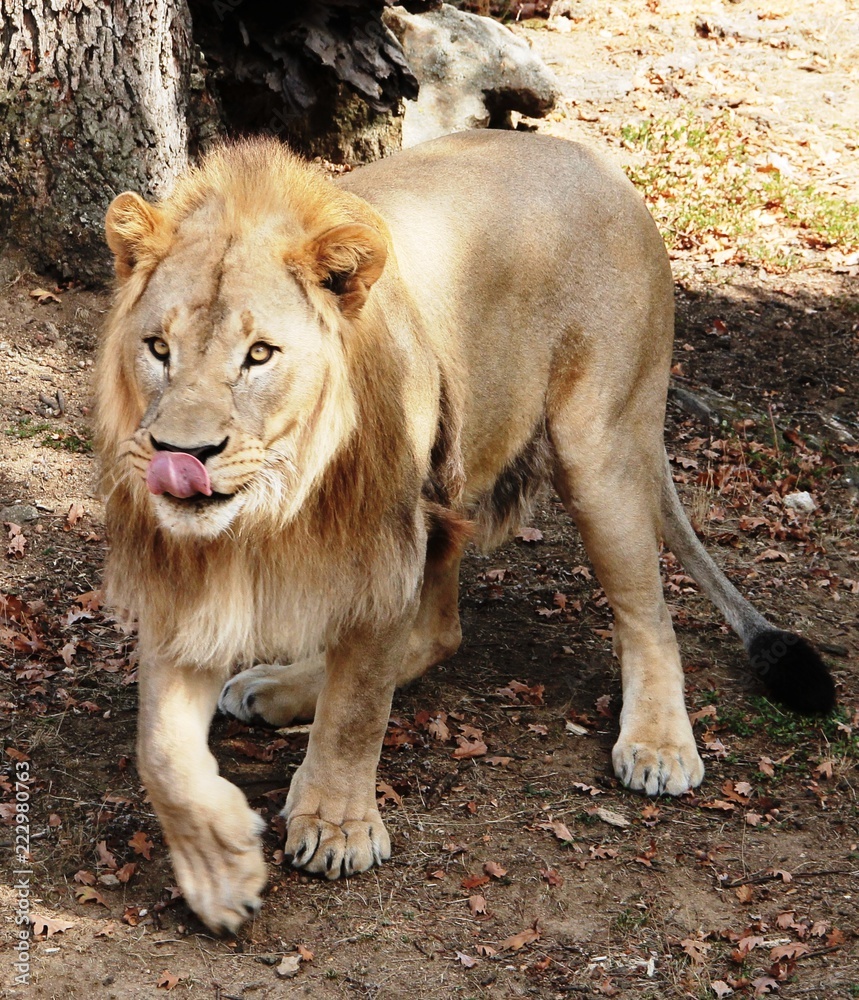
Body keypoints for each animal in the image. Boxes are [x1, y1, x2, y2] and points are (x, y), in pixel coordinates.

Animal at [96, 131, 833, 933]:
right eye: (158, 349)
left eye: (259, 354)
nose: (182, 456)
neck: (275, 498)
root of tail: (604, 167)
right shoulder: (181, 569)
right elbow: (160, 748)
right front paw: (220, 869)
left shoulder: (382, 547)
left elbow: (358, 707)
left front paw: (336, 825)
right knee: (439, 630)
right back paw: (278, 687)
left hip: (596, 449)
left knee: (646, 613)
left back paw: (658, 744)